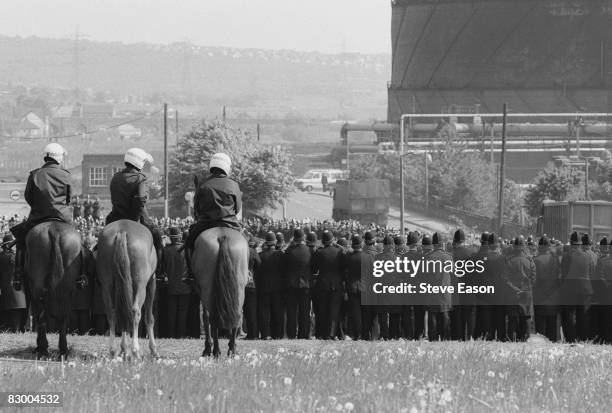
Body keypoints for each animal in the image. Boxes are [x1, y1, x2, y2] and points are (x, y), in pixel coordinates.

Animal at [26, 220, 82, 358]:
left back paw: (43, 348)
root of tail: (54, 229)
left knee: (40, 313)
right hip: (68, 287)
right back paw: (63, 349)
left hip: (36, 288)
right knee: (64, 315)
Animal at [95, 219, 158, 358]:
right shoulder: (151, 282)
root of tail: (122, 230)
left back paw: (113, 350)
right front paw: (153, 350)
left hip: (107, 285)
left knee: (112, 312)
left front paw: (124, 349)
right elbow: (149, 318)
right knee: (135, 311)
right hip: (141, 285)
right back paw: (136, 351)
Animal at [192, 227, 247, 356]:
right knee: (237, 315)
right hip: (239, 288)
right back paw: (232, 350)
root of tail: (222, 236)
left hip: (207, 289)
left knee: (211, 318)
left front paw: (208, 347)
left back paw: (215, 350)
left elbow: (205, 317)